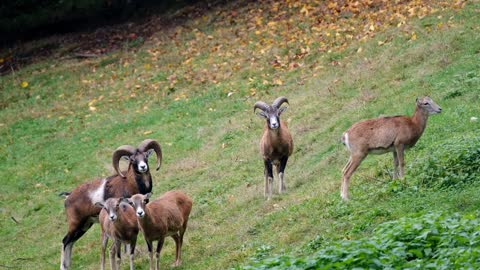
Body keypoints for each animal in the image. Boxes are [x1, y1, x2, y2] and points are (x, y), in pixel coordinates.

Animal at [59, 139, 161, 270]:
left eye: (146, 156)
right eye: (132, 159)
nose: (143, 167)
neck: (130, 184)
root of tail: (68, 196)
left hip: (84, 226)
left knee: (70, 243)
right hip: (76, 224)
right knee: (65, 241)